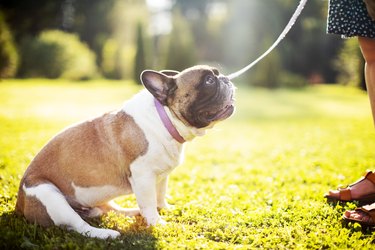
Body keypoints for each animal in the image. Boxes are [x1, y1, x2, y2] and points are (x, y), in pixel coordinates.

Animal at [16, 64, 236, 238]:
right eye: (209, 81)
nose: (225, 78)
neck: (165, 119)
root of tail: (19, 203)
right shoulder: (143, 176)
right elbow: (149, 202)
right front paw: (158, 223)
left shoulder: (161, 176)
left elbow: (159, 195)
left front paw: (164, 209)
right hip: (49, 195)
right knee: (79, 226)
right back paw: (106, 234)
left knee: (113, 210)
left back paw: (133, 212)